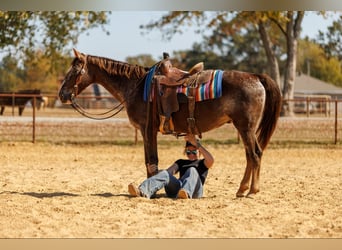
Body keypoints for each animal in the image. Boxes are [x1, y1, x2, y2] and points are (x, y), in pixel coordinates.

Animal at [59, 49, 284, 197]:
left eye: (74, 71)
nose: (62, 95)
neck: (136, 86)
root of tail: (256, 76)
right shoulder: (148, 131)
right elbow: (152, 163)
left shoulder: (147, 130)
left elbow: (151, 162)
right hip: (245, 128)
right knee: (250, 155)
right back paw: (242, 189)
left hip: (246, 127)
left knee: (254, 154)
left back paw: (252, 191)